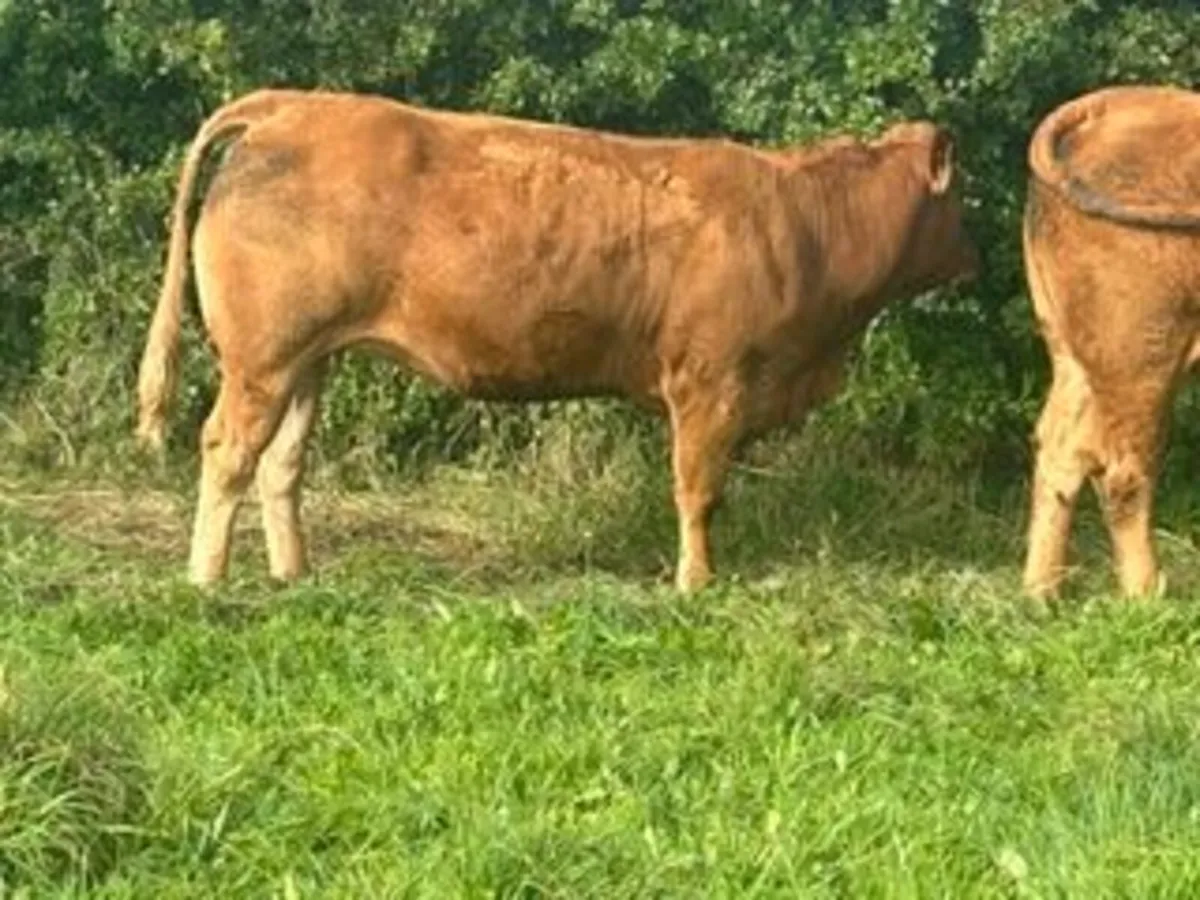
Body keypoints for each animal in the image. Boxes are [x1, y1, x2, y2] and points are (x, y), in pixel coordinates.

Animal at [134, 89, 978, 591]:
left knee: (281, 463)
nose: (977, 254)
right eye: (962, 198)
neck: (807, 222)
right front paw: (696, 582)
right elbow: (698, 489)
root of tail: (290, 107)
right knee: (229, 451)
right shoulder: (710, 383)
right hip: (263, 360)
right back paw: (206, 582)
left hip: (308, 359)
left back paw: (294, 576)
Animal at [1022, 84, 1200, 599]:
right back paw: (1147, 597)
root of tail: (1103, 107)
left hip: (1073, 351)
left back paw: (1041, 593)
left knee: (1061, 448)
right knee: (1124, 473)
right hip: (1142, 354)